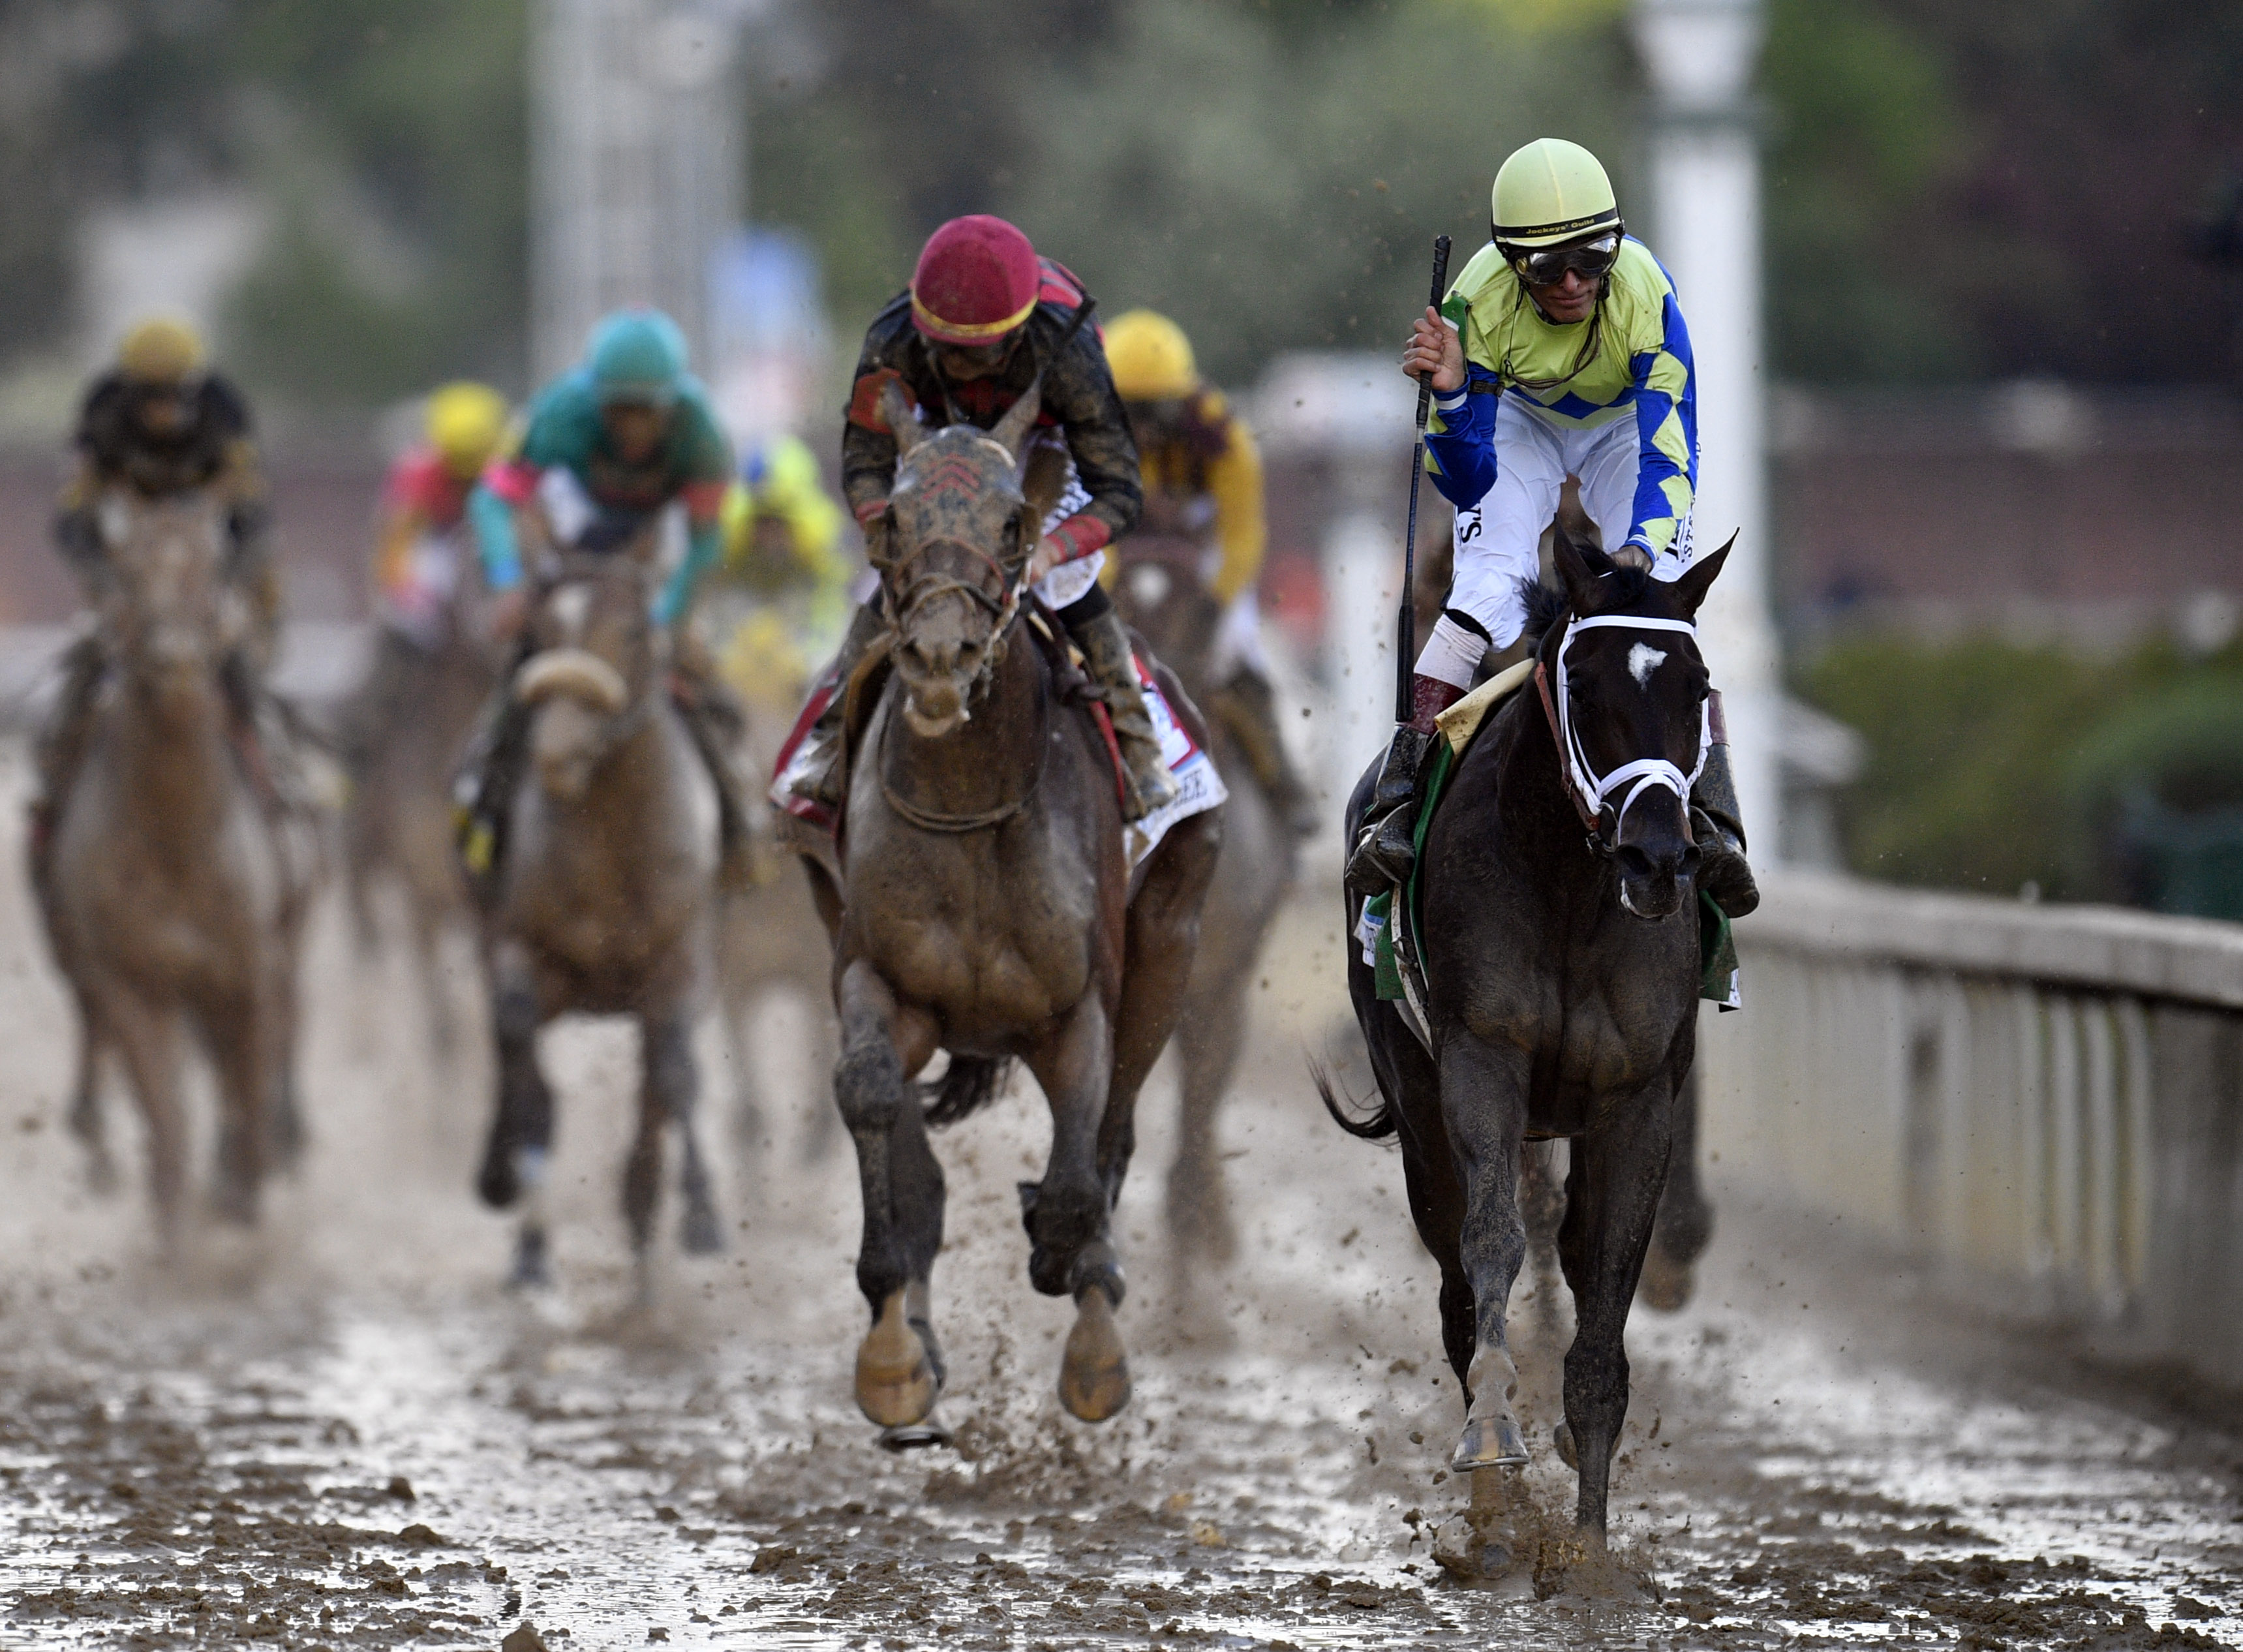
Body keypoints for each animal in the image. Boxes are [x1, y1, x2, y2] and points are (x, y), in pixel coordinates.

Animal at [40, 489, 314, 1239]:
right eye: (129, 576)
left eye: (207, 573)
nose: (174, 661)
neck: (177, 842)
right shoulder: (134, 981)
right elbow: (166, 1114)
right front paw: (177, 1233)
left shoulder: (250, 969)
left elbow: (247, 1084)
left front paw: (244, 1205)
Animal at [468, 543, 722, 1293]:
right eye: (541, 631)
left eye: (635, 632)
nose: (556, 752)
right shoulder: (523, 949)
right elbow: (527, 1069)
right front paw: (528, 1244)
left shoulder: (680, 958)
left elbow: (673, 1072)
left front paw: (697, 1217)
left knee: (655, 1092)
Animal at [807, 381, 1220, 1436]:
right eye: (894, 517)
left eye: (1010, 523)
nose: (939, 653)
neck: (969, 798)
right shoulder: (877, 975)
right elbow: (871, 1098)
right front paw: (891, 1350)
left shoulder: (1078, 1009)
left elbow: (1078, 1176)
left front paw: (1083, 1311)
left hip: (1172, 932)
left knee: (1116, 1130)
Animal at [1328, 529, 1732, 1544]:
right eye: (1581, 684)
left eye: (1696, 685)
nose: (1657, 855)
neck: (1569, 891)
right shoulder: (1480, 1064)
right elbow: (1491, 1247)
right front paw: (1492, 1447)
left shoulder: (1637, 1098)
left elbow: (1607, 1288)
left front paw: (1589, 1542)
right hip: (1417, 1104)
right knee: (1456, 1283)